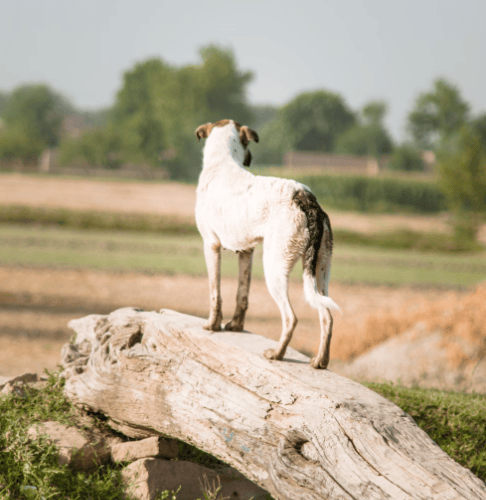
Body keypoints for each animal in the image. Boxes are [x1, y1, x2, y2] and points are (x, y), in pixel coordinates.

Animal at [196, 119, 340, 370]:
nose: (251, 158)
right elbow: (242, 295)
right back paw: (319, 361)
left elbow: (216, 294)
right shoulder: (247, 251)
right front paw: (235, 326)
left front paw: (212, 325)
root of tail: (306, 198)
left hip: (274, 269)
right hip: (320, 273)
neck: (221, 162)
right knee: (326, 316)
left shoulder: (210, 245)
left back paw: (276, 354)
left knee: (291, 318)